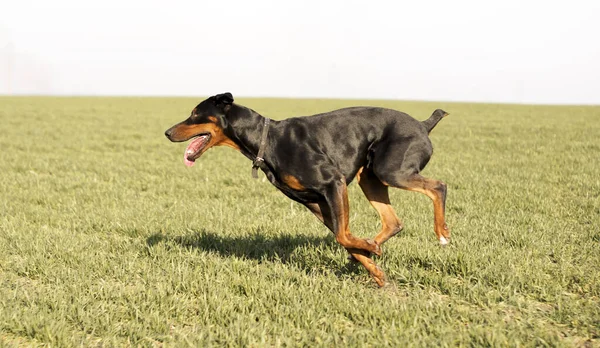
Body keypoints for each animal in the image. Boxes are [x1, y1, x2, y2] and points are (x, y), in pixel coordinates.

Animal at [164, 92, 450, 286]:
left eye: (195, 113)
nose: (167, 132)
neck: (267, 139)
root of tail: (424, 125)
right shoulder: (315, 202)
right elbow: (345, 238)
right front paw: (375, 269)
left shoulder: (333, 183)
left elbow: (343, 236)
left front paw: (369, 254)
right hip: (370, 177)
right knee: (393, 222)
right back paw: (371, 245)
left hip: (390, 170)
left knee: (439, 186)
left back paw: (442, 233)